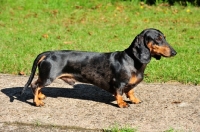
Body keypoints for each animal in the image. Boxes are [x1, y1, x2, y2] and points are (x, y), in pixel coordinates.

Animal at [20, 28, 177, 108]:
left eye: (165, 37)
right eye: (158, 39)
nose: (175, 52)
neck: (132, 60)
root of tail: (47, 53)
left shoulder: (130, 85)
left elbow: (131, 91)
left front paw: (134, 99)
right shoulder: (119, 83)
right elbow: (119, 93)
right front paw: (122, 104)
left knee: (38, 86)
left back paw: (40, 96)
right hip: (48, 77)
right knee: (35, 85)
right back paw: (37, 102)